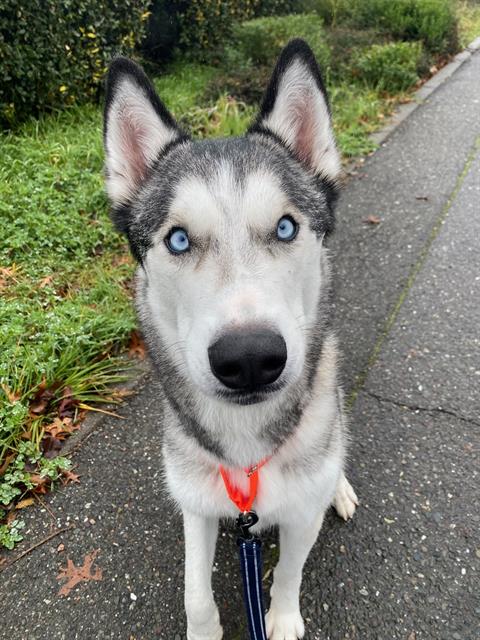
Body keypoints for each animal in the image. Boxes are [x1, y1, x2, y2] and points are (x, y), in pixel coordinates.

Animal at [103, 40, 358, 640]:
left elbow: (289, 570)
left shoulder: (299, 514)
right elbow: (194, 590)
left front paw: (282, 620)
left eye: (286, 228)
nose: (249, 359)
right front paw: (204, 628)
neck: (245, 453)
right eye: (178, 240)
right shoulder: (197, 504)